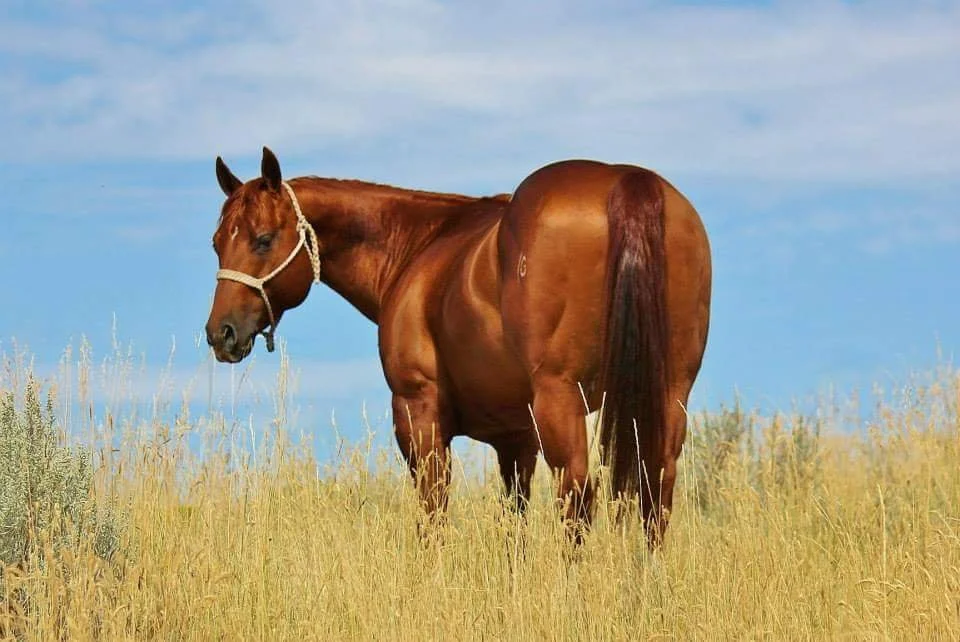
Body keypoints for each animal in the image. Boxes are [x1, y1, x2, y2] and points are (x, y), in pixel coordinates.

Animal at [204, 147, 711, 548]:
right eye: (216, 242)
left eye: (263, 240)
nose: (220, 333)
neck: (419, 245)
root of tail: (626, 181)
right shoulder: (515, 438)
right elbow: (513, 525)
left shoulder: (418, 415)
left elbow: (434, 513)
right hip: (667, 397)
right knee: (655, 493)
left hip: (561, 398)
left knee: (577, 496)